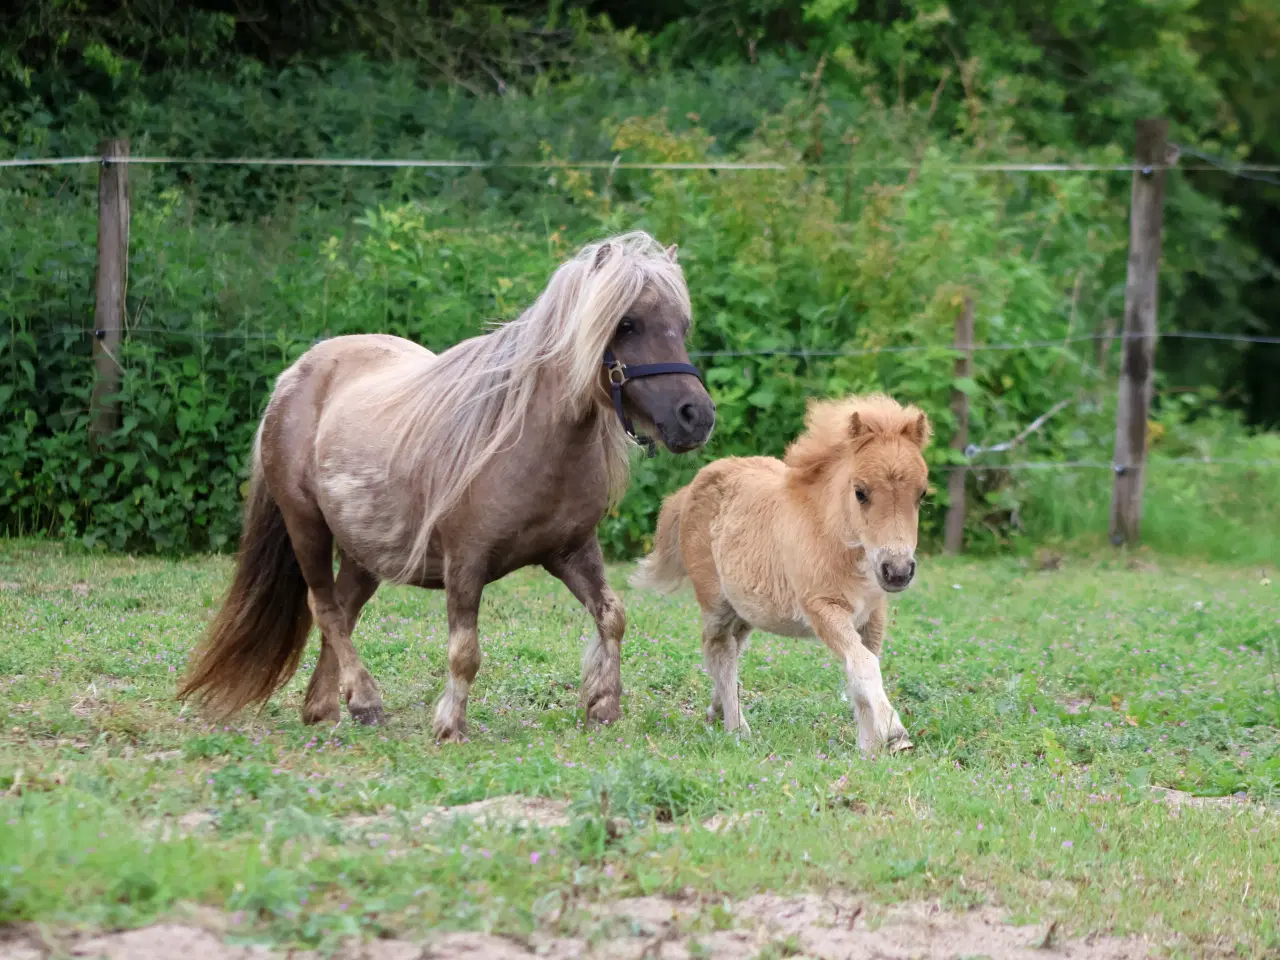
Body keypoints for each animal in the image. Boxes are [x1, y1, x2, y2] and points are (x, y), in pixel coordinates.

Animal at [177, 235, 721, 742]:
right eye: (626, 324)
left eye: (682, 326)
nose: (695, 417)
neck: (528, 441)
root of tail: (295, 375)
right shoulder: (466, 561)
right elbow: (465, 651)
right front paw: (450, 726)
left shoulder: (571, 551)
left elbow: (612, 616)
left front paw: (603, 705)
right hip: (305, 525)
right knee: (325, 609)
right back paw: (365, 699)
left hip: (365, 552)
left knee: (344, 611)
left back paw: (327, 705)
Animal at [632, 394, 926, 757]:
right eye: (860, 492)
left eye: (922, 494)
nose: (897, 571)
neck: (833, 537)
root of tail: (691, 487)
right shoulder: (822, 607)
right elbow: (864, 665)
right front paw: (894, 734)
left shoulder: (872, 614)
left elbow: (860, 669)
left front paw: (869, 748)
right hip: (715, 601)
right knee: (718, 650)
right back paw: (737, 729)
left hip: (746, 608)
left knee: (731, 649)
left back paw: (717, 711)